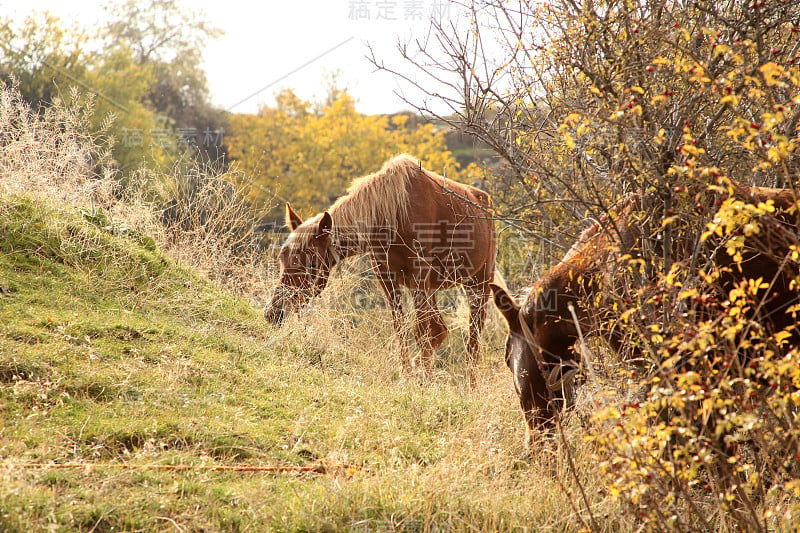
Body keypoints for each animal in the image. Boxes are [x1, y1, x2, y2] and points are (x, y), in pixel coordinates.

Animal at [266, 152, 496, 380]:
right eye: (282, 257)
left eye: (312, 262)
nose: (274, 313)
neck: (394, 214)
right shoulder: (387, 277)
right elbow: (401, 328)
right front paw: (408, 375)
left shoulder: (419, 275)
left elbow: (421, 331)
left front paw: (423, 382)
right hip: (433, 288)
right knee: (440, 330)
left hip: (478, 285)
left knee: (472, 345)